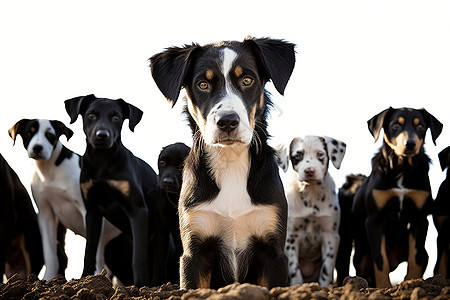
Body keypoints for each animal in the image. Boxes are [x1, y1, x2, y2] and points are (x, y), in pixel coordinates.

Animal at [64, 95, 158, 288]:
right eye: (91, 115)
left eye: (116, 117)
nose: (102, 135)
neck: (102, 161)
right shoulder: (92, 210)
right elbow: (89, 251)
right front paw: (85, 279)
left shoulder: (138, 210)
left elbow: (139, 255)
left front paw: (140, 284)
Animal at [151, 142, 190, 284]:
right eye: (162, 162)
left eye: (181, 166)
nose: (167, 182)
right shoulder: (161, 230)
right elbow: (159, 258)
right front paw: (158, 283)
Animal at [276, 135, 346, 286]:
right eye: (297, 155)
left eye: (320, 154)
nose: (309, 171)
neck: (311, 194)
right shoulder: (291, 236)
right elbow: (294, 270)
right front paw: (297, 287)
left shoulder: (330, 236)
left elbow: (326, 269)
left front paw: (324, 287)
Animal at [352, 106, 442, 288]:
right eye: (395, 125)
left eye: (420, 126)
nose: (410, 144)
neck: (402, 168)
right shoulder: (374, 220)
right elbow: (380, 260)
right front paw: (384, 287)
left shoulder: (420, 219)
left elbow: (415, 258)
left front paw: (413, 282)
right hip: (362, 252)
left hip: (424, 252)